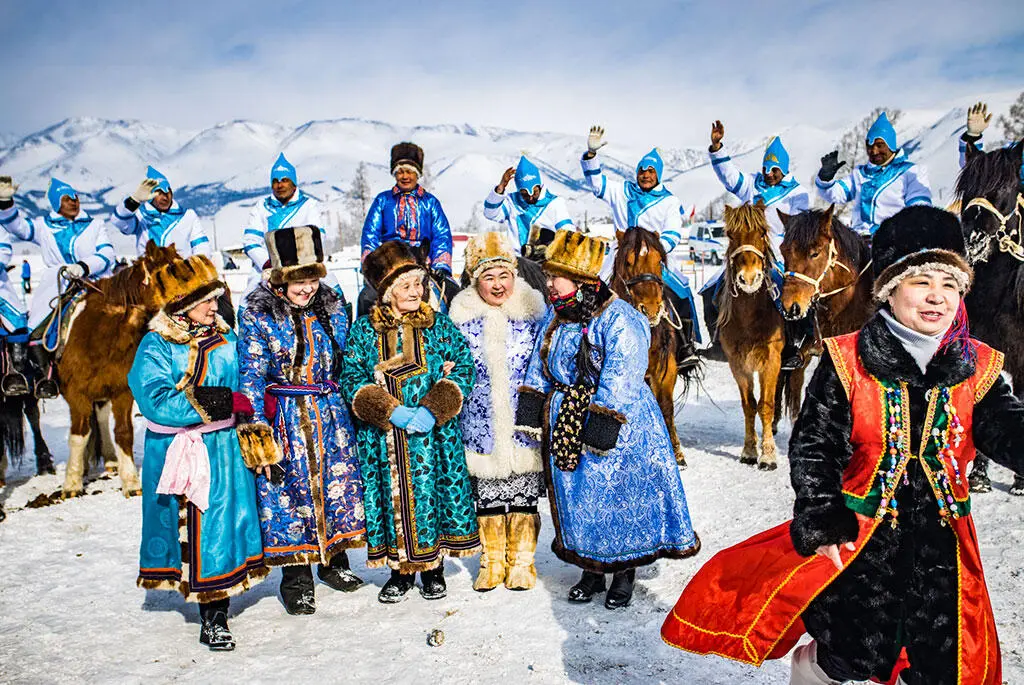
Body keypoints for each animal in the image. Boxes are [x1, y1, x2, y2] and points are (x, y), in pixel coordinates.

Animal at [57, 240, 180, 497]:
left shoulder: (122, 391)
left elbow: (124, 432)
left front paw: (131, 482)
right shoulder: (76, 394)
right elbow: (78, 435)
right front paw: (72, 483)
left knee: (101, 419)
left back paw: (111, 460)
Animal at [606, 224, 688, 464]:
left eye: (659, 261)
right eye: (627, 261)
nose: (651, 310)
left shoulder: (666, 371)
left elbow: (666, 408)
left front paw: (675, 451)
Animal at [716, 201, 802, 471]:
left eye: (763, 233)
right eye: (730, 235)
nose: (749, 278)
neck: (750, 317)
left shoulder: (771, 361)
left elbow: (765, 405)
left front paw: (768, 455)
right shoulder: (738, 365)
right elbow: (749, 406)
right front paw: (749, 450)